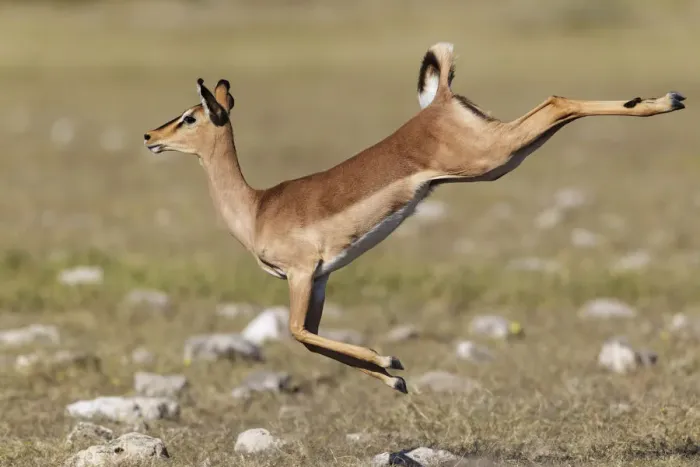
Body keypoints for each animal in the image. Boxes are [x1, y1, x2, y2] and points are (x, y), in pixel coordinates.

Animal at [143, 42, 686, 394]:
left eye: (190, 116)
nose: (149, 136)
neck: (257, 207)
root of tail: (440, 100)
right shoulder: (319, 280)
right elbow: (312, 341)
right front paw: (393, 378)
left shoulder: (300, 274)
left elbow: (298, 334)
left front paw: (390, 359)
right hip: (503, 159)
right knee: (556, 109)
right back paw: (663, 100)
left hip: (490, 157)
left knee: (556, 101)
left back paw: (670, 101)